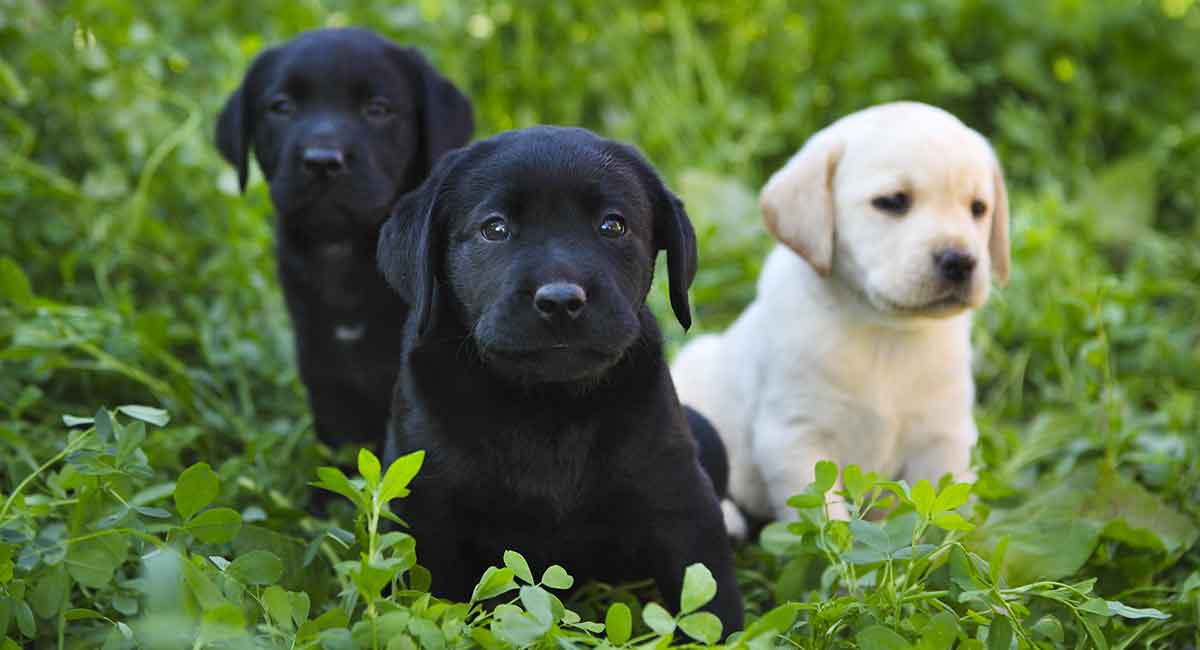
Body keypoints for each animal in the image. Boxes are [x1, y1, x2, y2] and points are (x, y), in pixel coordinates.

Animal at [379, 124, 744, 633]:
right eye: (495, 229)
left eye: (613, 226)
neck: (547, 405)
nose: (559, 300)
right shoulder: (424, 506)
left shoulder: (680, 493)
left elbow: (712, 597)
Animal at [672, 103, 1008, 525]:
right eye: (893, 201)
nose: (960, 261)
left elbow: (949, 515)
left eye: (978, 208)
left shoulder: (945, 438)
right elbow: (828, 521)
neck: (884, 331)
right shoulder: (795, 437)